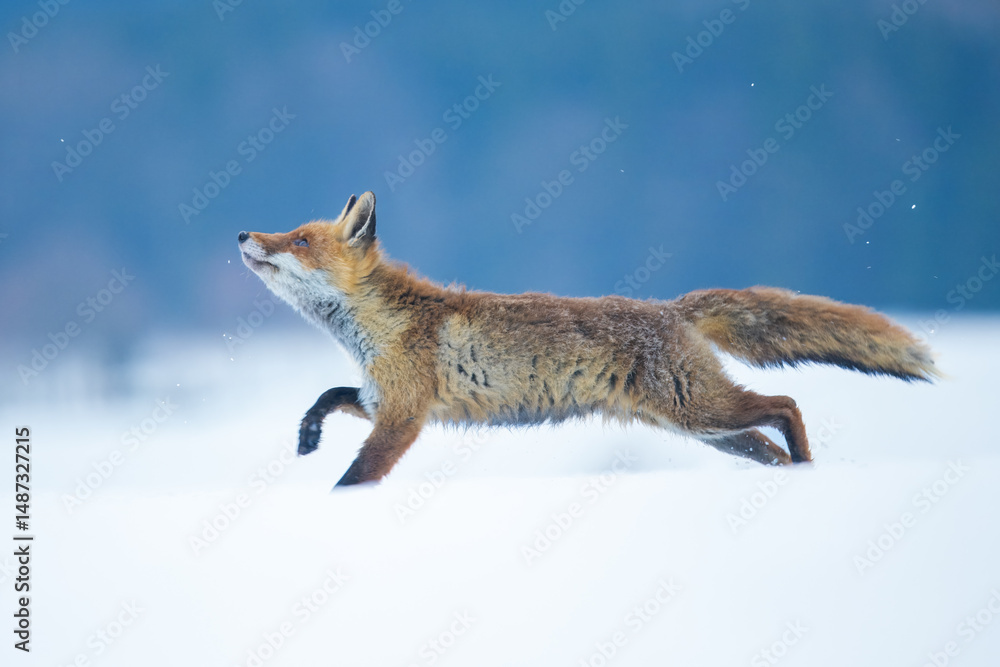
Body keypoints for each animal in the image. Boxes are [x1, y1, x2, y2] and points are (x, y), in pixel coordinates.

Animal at [238, 191, 937, 487]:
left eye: (299, 239)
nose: (243, 233)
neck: (381, 327)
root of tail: (669, 310)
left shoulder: (406, 415)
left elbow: (357, 476)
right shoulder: (385, 399)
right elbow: (330, 395)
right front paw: (307, 434)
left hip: (699, 410)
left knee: (787, 405)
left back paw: (812, 471)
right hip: (707, 429)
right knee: (768, 440)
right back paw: (796, 477)